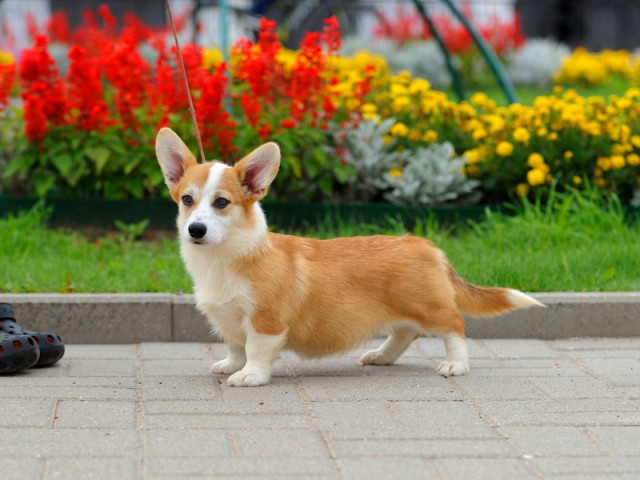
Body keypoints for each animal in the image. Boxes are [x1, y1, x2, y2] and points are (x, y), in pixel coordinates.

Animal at [155, 127, 543, 387]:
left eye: (222, 202)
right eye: (187, 200)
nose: (196, 230)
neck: (226, 257)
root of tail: (426, 246)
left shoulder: (266, 319)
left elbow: (256, 350)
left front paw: (250, 375)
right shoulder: (230, 321)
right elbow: (236, 346)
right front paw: (230, 365)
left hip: (429, 307)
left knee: (454, 327)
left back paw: (455, 365)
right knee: (405, 333)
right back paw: (380, 356)